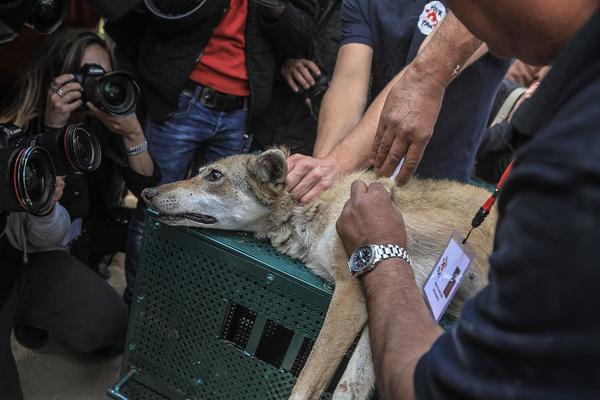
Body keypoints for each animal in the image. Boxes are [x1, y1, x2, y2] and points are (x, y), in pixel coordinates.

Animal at [142, 148, 496, 398]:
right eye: (200, 172)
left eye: (214, 176)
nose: (147, 192)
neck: (313, 214)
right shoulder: (393, 302)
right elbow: (349, 387)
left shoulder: (352, 292)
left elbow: (306, 383)